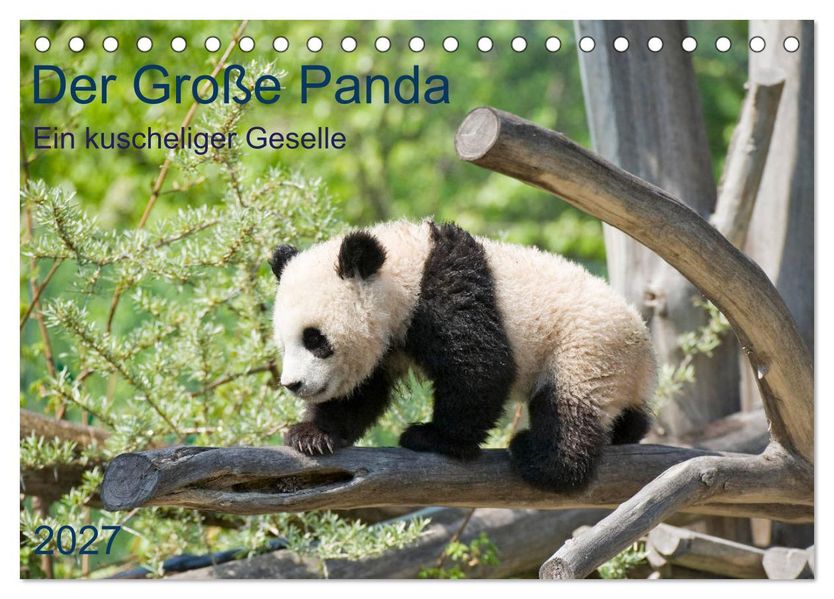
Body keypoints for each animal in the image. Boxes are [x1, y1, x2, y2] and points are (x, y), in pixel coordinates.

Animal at [269, 219, 656, 492]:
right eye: (285, 344)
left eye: (315, 339)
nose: (293, 384)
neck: (404, 269)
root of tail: (644, 348)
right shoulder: (389, 340)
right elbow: (361, 392)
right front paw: (313, 435)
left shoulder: (446, 294)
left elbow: (480, 367)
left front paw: (434, 438)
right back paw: (627, 430)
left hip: (586, 346)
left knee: (569, 407)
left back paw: (542, 459)